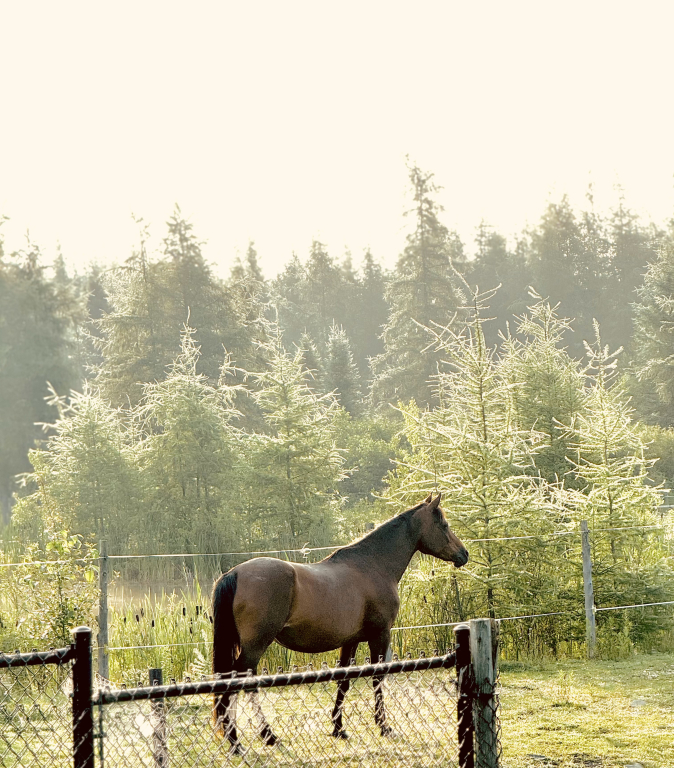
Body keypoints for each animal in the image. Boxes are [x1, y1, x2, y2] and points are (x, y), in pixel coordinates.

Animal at [211, 496, 468, 752]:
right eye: (444, 525)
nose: (463, 554)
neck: (372, 565)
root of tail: (234, 573)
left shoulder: (350, 641)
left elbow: (343, 681)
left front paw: (338, 729)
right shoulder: (380, 635)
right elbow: (377, 678)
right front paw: (383, 726)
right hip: (255, 646)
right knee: (240, 682)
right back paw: (250, 739)